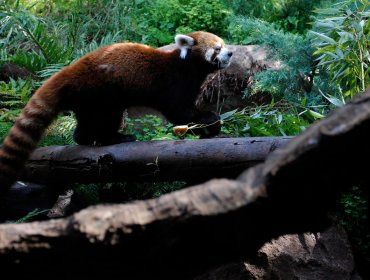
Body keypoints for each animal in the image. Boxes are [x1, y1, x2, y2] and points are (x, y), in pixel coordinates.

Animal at [0, 31, 231, 192]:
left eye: (223, 45)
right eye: (217, 48)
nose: (230, 52)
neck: (187, 66)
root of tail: (70, 70)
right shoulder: (173, 85)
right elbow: (180, 113)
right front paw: (210, 122)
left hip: (86, 100)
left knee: (85, 124)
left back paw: (85, 138)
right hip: (103, 92)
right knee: (108, 117)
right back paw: (116, 138)